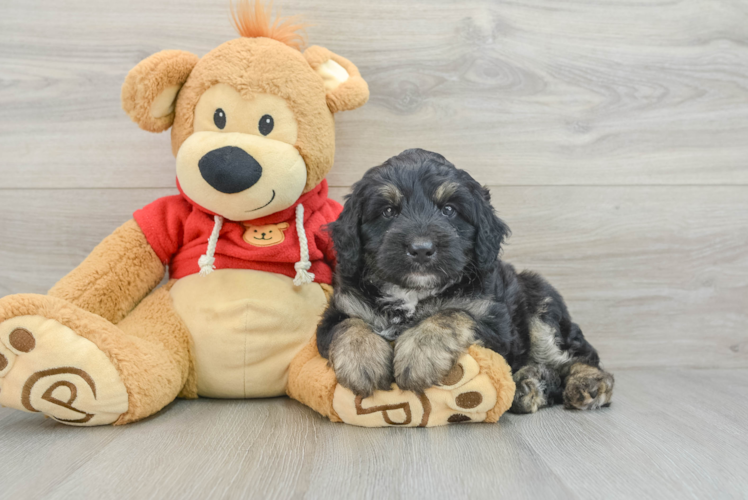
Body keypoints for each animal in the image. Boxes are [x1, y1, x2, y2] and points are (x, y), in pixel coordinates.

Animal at [316, 149, 612, 414]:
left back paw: (588, 382)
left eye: (449, 210)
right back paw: (529, 384)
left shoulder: (496, 325)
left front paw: (419, 354)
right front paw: (362, 362)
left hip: (540, 304)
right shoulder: (341, 307)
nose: (421, 249)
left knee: (577, 355)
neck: (413, 292)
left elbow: (452, 313)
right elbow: (348, 324)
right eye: (388, 211)